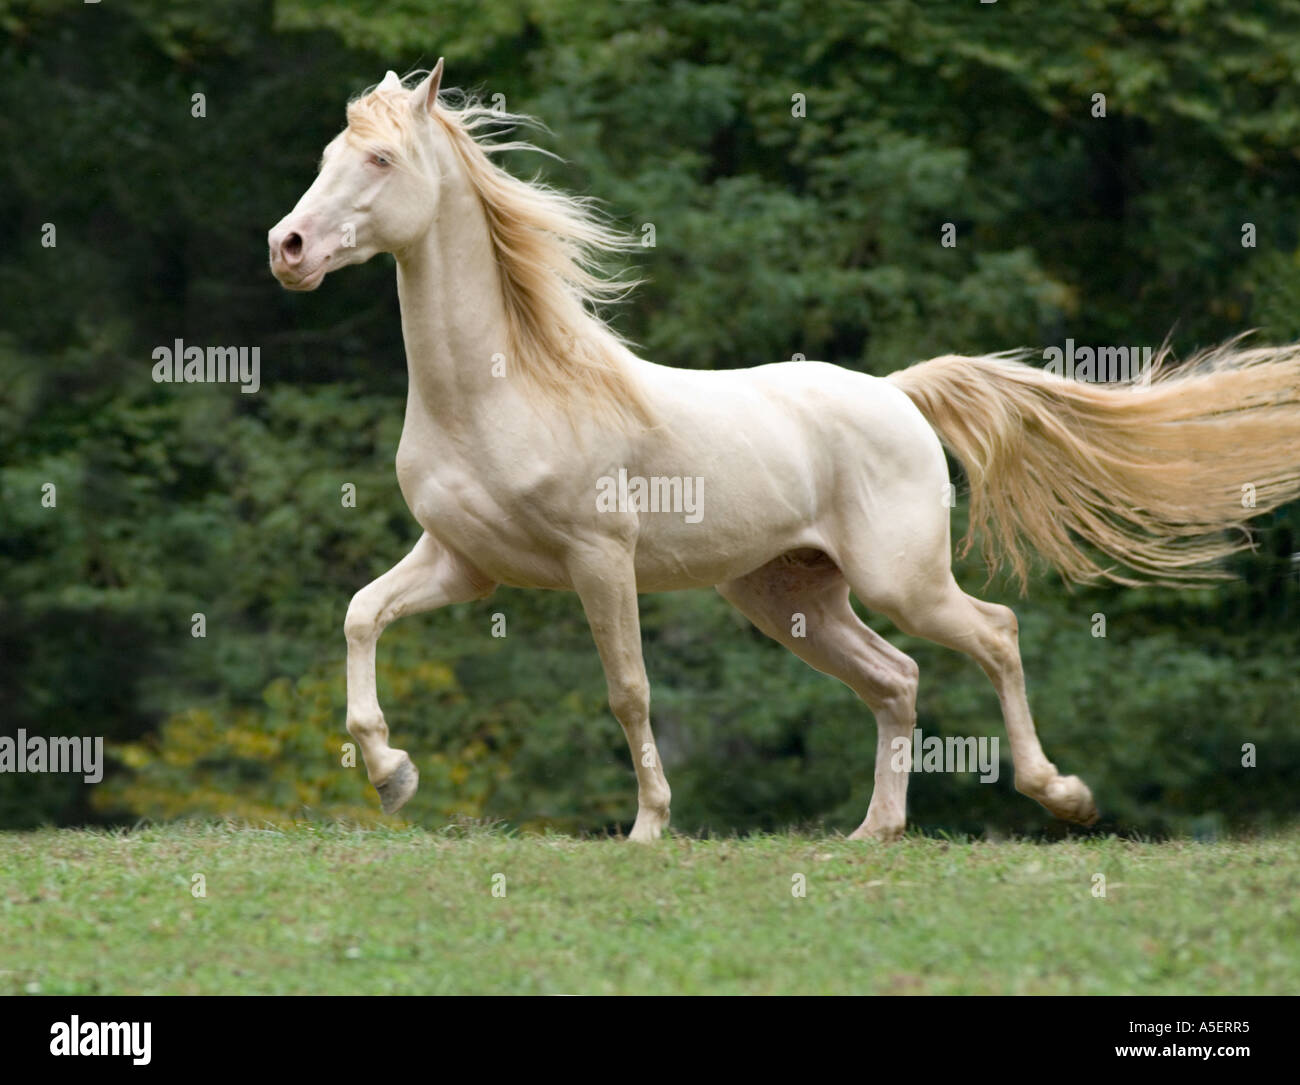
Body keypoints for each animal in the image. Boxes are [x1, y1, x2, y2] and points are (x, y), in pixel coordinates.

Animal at [269, 61, 1300, 842]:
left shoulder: (599, 558)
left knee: (994, 633)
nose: (289, 247)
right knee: (897, 678)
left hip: (899, 579)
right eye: (325, 157)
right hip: (791, 597)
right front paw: (392, 773)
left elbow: (629, 690)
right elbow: (361, 615)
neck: (501, 388)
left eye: (380, 157)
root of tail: (896, 392)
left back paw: (1063, 796)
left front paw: (650, 826)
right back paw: (874, 831)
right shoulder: (463, 561)